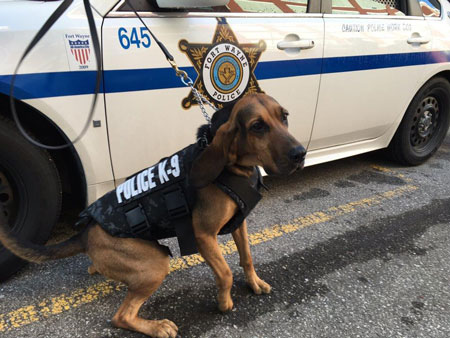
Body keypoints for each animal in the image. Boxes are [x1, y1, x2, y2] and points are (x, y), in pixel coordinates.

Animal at [0, 93, 306, 338]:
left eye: (284, 117)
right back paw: (157, 326)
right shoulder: (204, 235)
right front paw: (224, 303)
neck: (232, 168)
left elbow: (247, 258)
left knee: (97, 271)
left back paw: (96, 269)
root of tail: (85, 233)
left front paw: (254, 283)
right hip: (155, 265)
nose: (300, 153)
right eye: (257, 126)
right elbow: (226, 273)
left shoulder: (239, 224)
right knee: (121, 317)